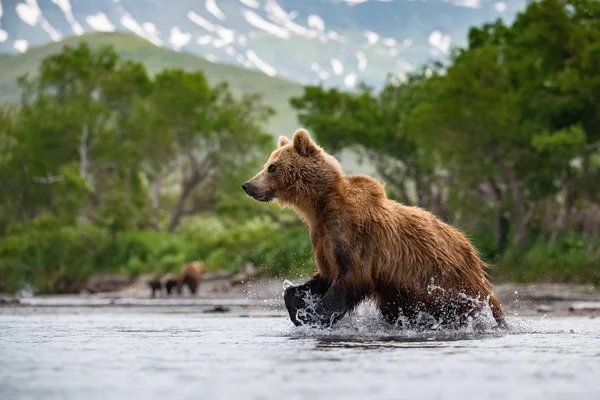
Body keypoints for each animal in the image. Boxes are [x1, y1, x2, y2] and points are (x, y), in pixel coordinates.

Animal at [241, 130, 504, 330]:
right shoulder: (322, 238)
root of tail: (473, 253)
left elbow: (352, 278)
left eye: (272, 167)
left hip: (446, 281)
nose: (247, 185)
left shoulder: (353, 235)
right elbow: (324, 276)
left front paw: (315, 316)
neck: (320, 207)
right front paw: (298, 306)